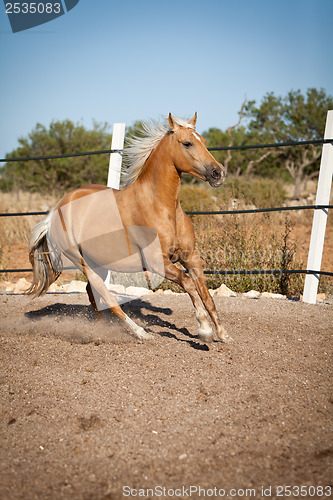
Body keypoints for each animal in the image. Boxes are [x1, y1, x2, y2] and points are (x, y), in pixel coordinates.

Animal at [27, 112, 230, 344]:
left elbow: (206, 295)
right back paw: (141, 333)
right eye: (187, 143)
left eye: (203, 141)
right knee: (107, 297)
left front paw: (223, 334)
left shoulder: (191, 257)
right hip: (82, 263)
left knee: (93, 293)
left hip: (99, 262)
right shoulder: (156, 262)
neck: (161, 207)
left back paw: (102, 330)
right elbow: (188, 284)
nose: (218, 173)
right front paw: (204, 329)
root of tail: (55, 212)